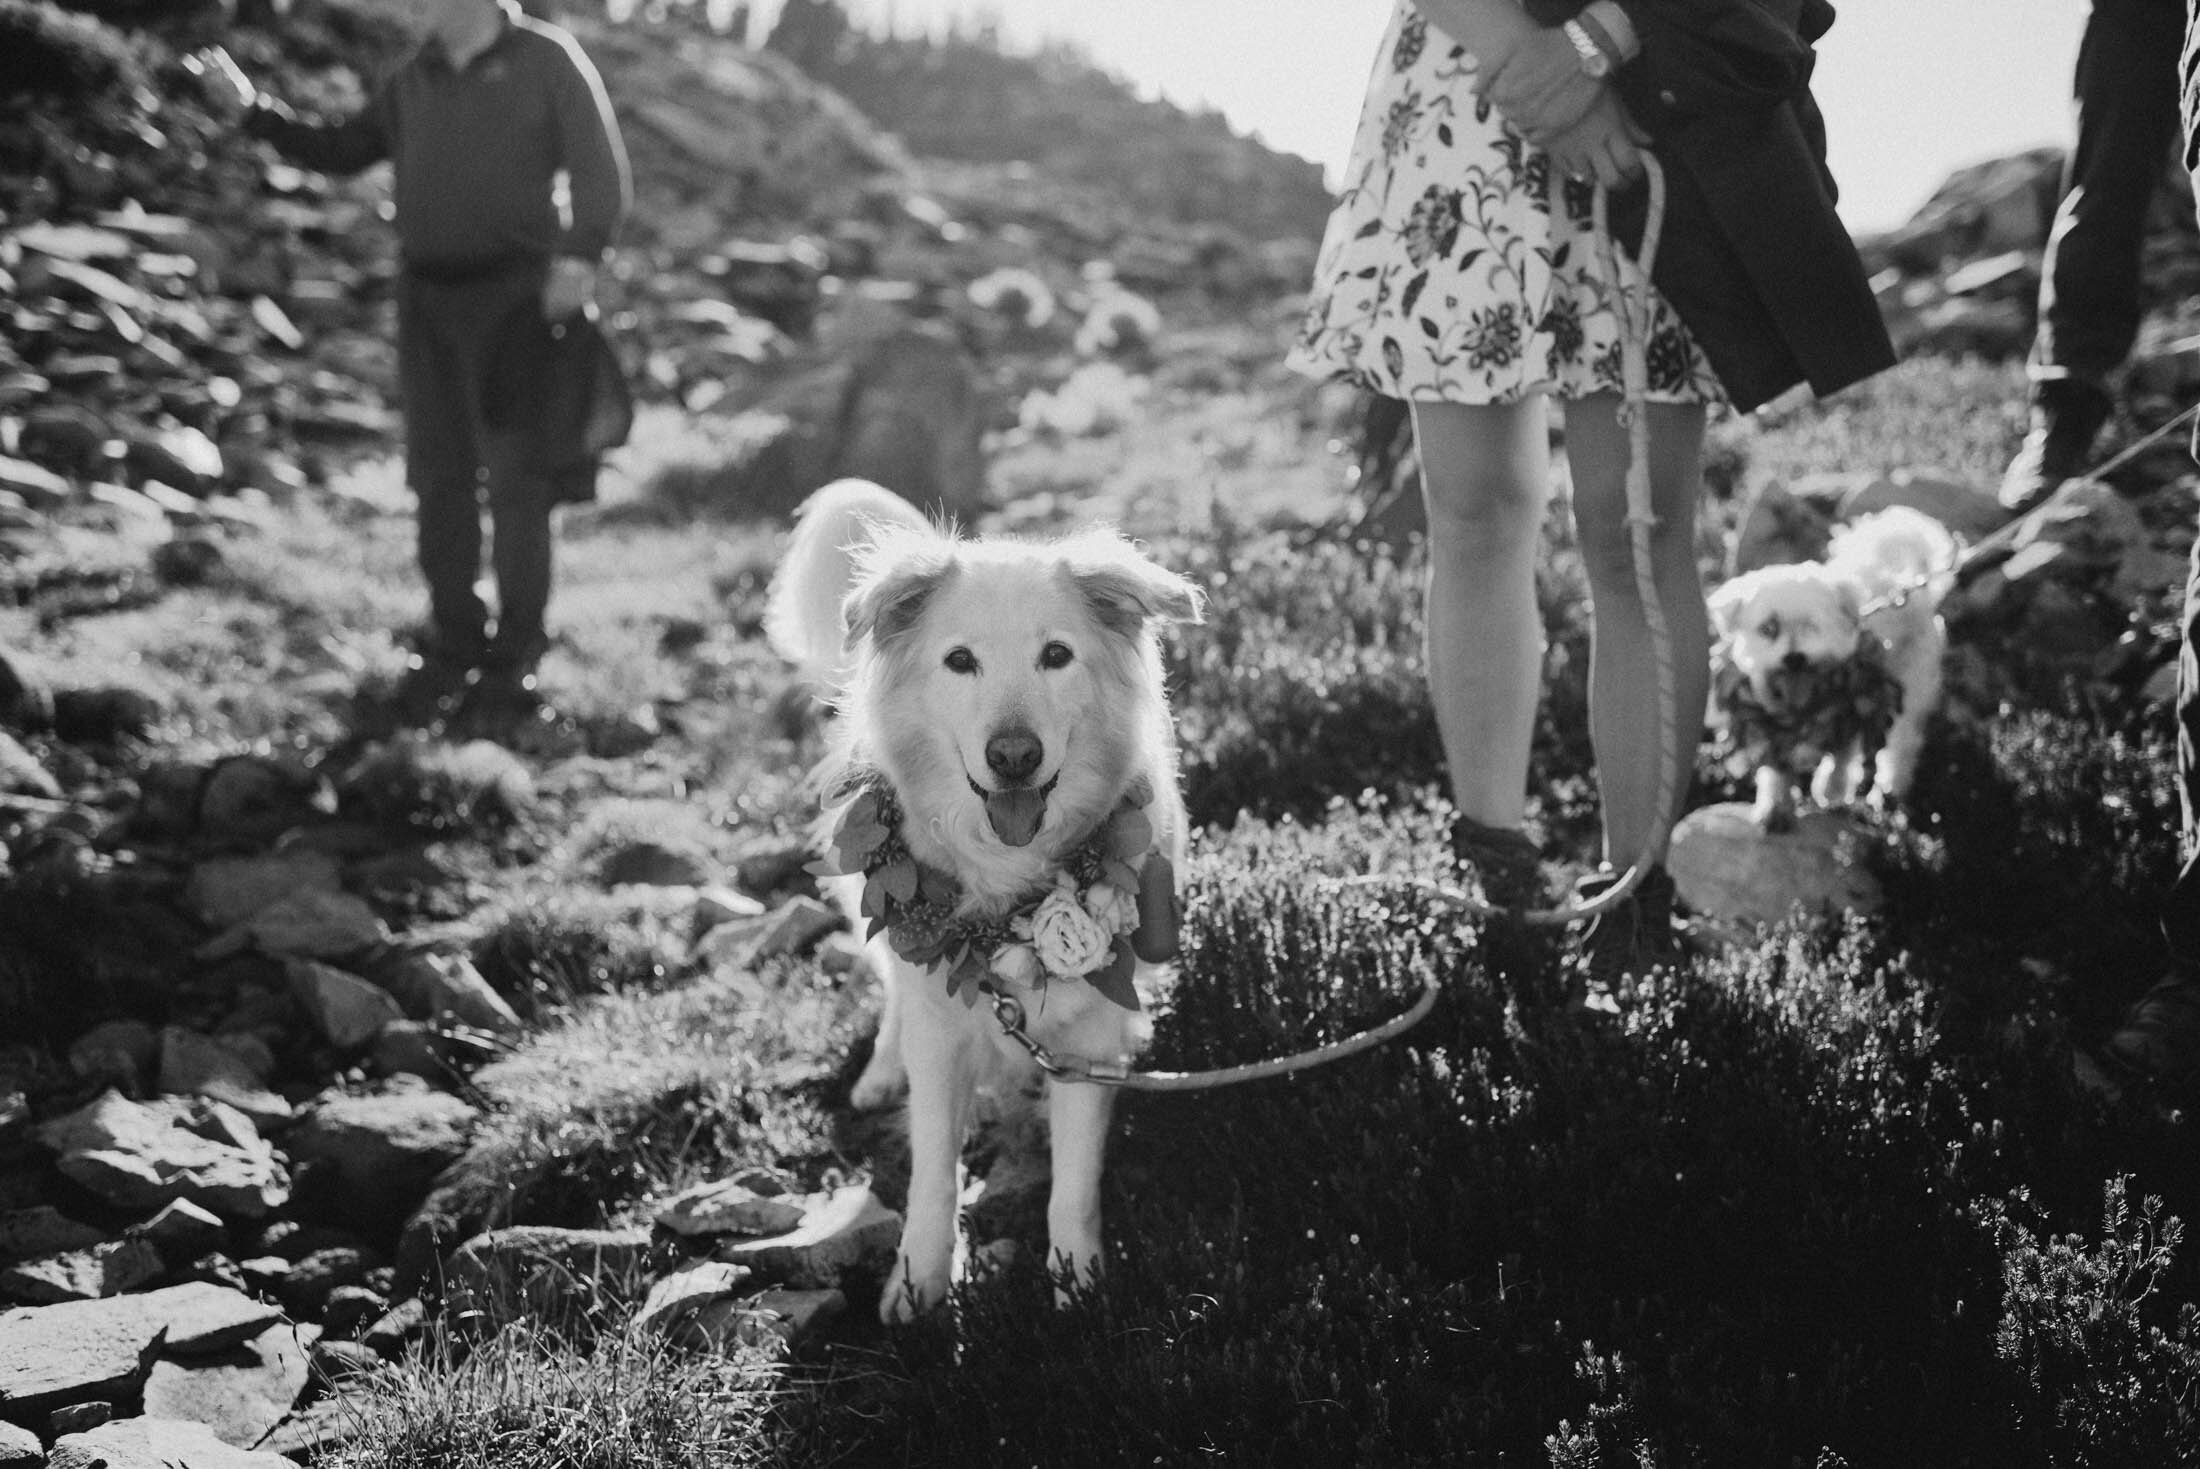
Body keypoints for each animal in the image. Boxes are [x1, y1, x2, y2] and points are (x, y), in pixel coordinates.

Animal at [761, 479, 1205, 1319]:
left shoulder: (1090, 1034)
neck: (1010, 888)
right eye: (959, 661)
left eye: (1056, 655)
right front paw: (919, 1278)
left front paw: (1077, 1278)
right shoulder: (939, 1025)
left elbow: (1075, 1181)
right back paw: (881, 1072)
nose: (1014, 756)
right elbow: (934, 1167)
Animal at [1698, 505, 1962, 826]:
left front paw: (1832, 788)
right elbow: (1776, 769)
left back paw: (1889, 789)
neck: (1803, 707)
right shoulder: (1767, 727)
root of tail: (1910, 589)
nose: (1794, 658)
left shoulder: (1857, 702)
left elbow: (1843, 755)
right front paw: (1774, 807)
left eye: (1813, 626)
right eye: (1768, 628)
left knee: (1903, 741)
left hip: (1910, 686)